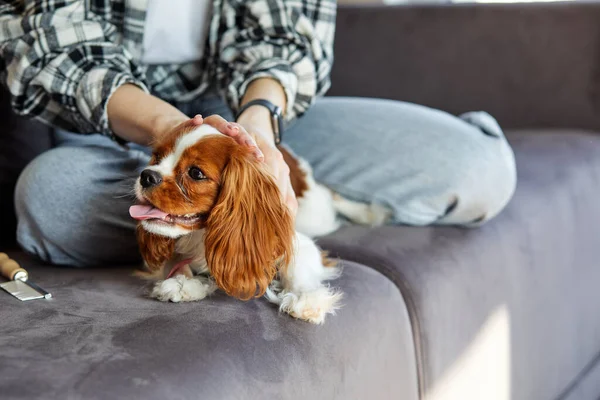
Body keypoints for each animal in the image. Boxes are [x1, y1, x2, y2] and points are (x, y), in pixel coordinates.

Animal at [129, 121, 392, 322]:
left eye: (196, 173)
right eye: (157, 157)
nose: (147, 175)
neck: (202, 235)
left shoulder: (292, 239)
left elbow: (297, 266)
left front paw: (305, 298)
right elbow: (180, 264)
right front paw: (184, 283)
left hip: (317, 214)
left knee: (332, 196)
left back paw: (367, 213)